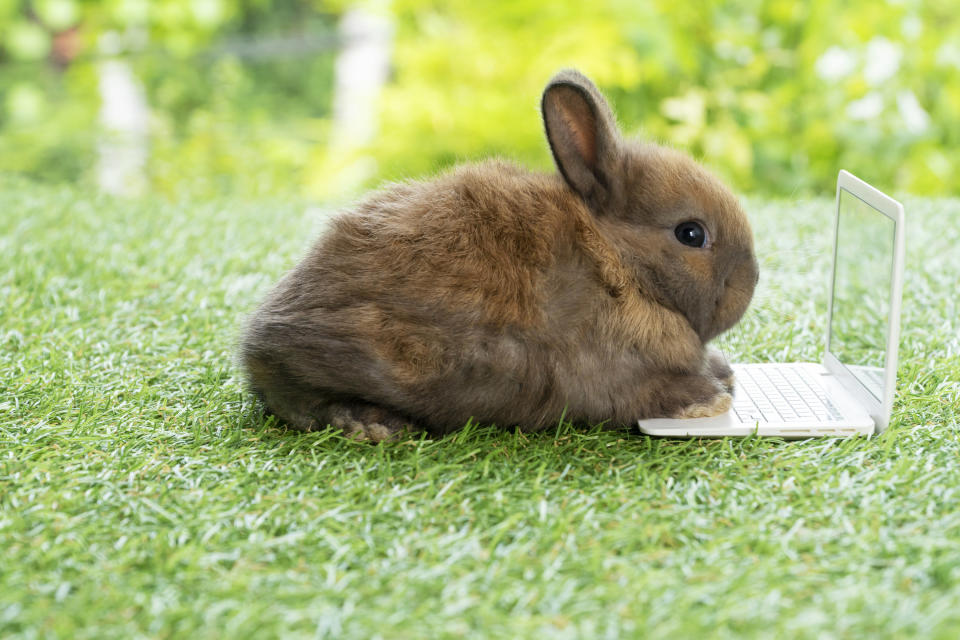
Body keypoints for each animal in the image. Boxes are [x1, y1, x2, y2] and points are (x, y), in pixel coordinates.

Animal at [240, 69, 756, 440]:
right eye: (691, 234)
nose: (749, 284)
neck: (620, 264)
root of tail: (258, 339)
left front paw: (723, 374)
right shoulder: (611, 368)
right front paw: (708, 398)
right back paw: (371, 423)